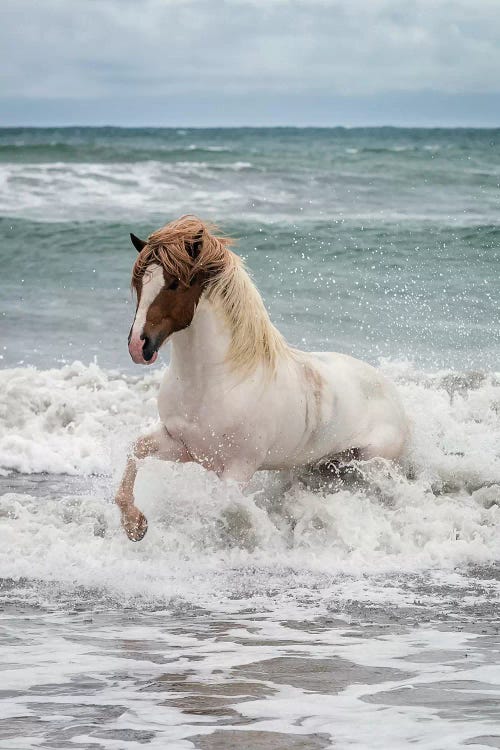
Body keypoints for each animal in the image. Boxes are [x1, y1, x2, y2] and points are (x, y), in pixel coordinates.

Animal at [115, 216, 408, 540]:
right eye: (139, 283)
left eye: (175, 283)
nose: (138, 346)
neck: (213, 383)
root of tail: (392, 392)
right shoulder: (183, 447)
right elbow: (136, 450)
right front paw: (134, 525)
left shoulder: (237, 468)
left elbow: (226, 507)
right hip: (322, 464)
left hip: (370, 463)